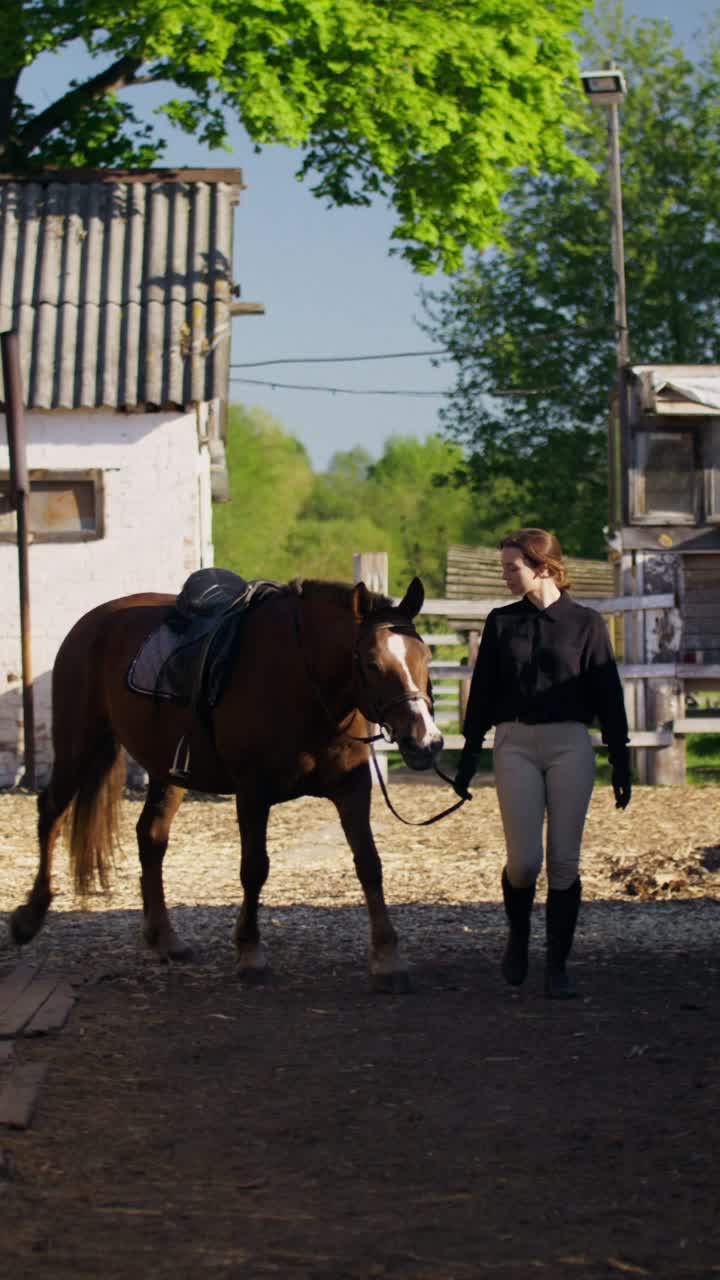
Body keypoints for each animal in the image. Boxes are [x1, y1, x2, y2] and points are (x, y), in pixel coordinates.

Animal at [10, 575, 444, 990]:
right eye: (371, 663)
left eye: (425, 657)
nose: (426, 741)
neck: (301, 683)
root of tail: (93, 622)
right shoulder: (252, 792)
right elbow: (254, 868)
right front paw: (250, 952)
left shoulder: (352, 789)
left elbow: (369, 864)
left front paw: (387, 959)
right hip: (78, 746)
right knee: (50, 813)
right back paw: (29, 917)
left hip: (166, 772)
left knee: (150, 837)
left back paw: (163, 938)